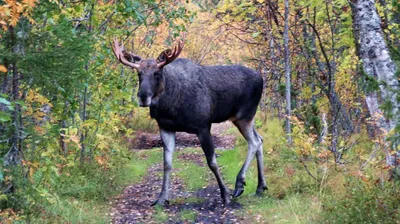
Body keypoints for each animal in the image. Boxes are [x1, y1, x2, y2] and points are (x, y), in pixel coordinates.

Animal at [111, 36, 268, 206]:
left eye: (157, 73)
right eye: (139, 73)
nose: (143, 97)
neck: (169, 106)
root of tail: (261, 78)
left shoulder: (203, 126)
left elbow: (212, 162)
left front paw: (225, 194)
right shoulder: (165, 127)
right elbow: (167, 164)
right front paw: (161, 198)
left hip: (244, 116)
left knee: (254, 142)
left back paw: (239, 184)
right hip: (242, 118)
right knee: (260, 139)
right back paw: (260, 187)